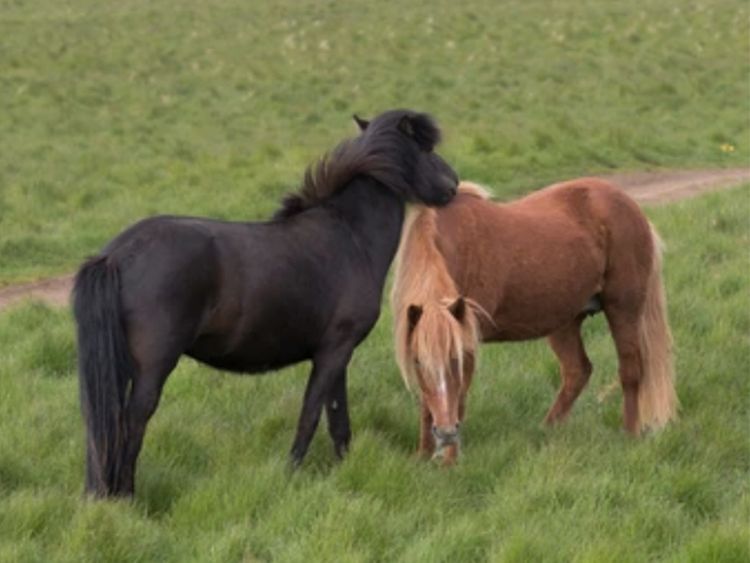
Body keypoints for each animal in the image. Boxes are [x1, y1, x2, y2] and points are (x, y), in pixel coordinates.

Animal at [73, 110, 458, 498]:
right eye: (425, 148)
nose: (453, 183)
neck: (351, 237)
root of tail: (116, 255)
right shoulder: (334, 351)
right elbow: (311, 414)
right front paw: (291, 473)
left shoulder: (337, 355)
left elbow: (337, 419)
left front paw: (343, 470)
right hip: (153, 366)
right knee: (132, 422)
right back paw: (125, 496)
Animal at [396, 180, 680, 462]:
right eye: (418, 362)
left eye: (456, 359)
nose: (445, 433)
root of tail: (630, 206)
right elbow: (427, 402)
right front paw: (424, 455)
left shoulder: (467, 342)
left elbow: (460, 397)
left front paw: (450, 461)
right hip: (566, 323)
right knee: (577, 371)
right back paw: (546, 430)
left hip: (623, 310)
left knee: (630, 371)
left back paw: (629, 434)